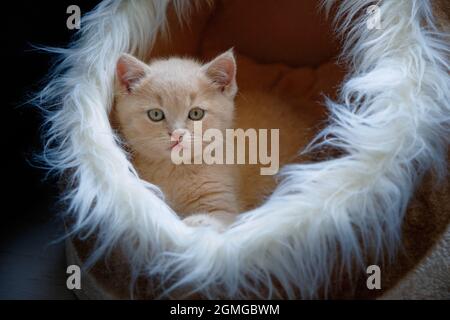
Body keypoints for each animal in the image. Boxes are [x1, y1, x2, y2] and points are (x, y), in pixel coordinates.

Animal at [111, 50, 239, 230]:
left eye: (196, 113)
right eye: (155, 114)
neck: (174, 169)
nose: (176, 134)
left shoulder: (223, 206)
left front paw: (195, 222)